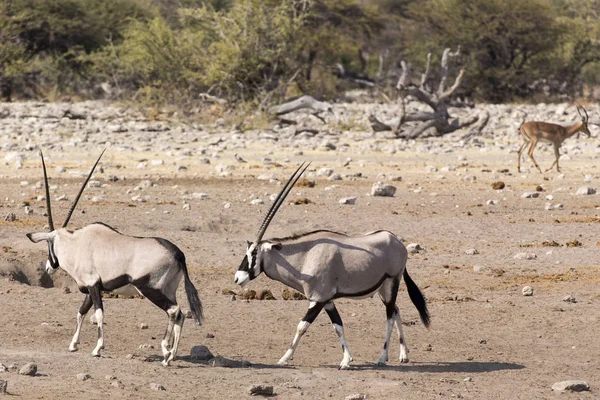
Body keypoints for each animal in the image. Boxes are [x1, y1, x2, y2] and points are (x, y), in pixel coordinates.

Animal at [26, 150, 204, 366]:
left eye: (48, 244)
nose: (49, 266)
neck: (76, 244)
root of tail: (178, 253)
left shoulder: (93, 285)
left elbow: (98, 313)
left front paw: (97, 348)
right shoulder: (92, 288)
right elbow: (81, 312)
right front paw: (73, 345)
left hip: (150, 289)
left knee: (174, 311)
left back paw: (166, 353)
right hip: (168, 290)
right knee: (181, 316)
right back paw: (172, 355)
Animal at [233, 163, 426, 368]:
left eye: (254, 253)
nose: (238, 278)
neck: (305, 256)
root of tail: (396, 240)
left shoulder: (318, 299)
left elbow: (301, 326)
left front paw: (284, 358)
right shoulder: (328, 301)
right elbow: (338, 326)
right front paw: (347, 359)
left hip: (391, 283)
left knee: (389, 316)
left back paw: (382, 358)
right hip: (382, 289)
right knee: (396, 310)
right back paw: (403, 354)